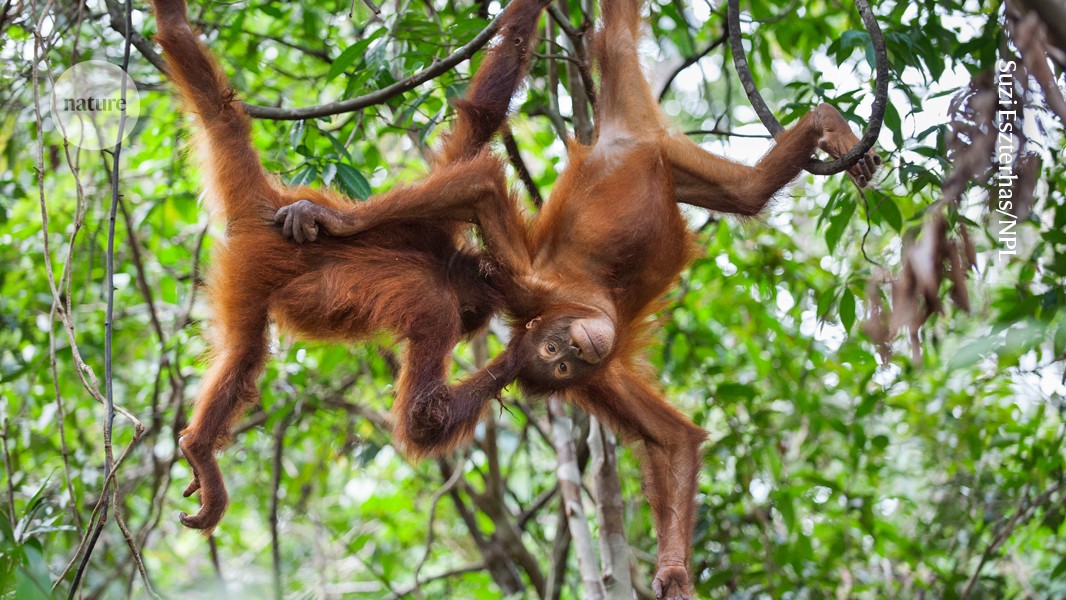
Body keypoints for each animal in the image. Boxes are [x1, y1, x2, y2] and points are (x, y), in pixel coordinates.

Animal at [148, 0, 552, 532]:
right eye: (467, 319)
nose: (470, 330)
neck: (440, 266)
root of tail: (263, 205)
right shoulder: (436, 307)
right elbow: (422, 418)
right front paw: (525, 349)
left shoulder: (434, 228)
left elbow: (475, 127)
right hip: (248, 272)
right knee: (246, 353)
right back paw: (199, 448)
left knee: (220, 110)